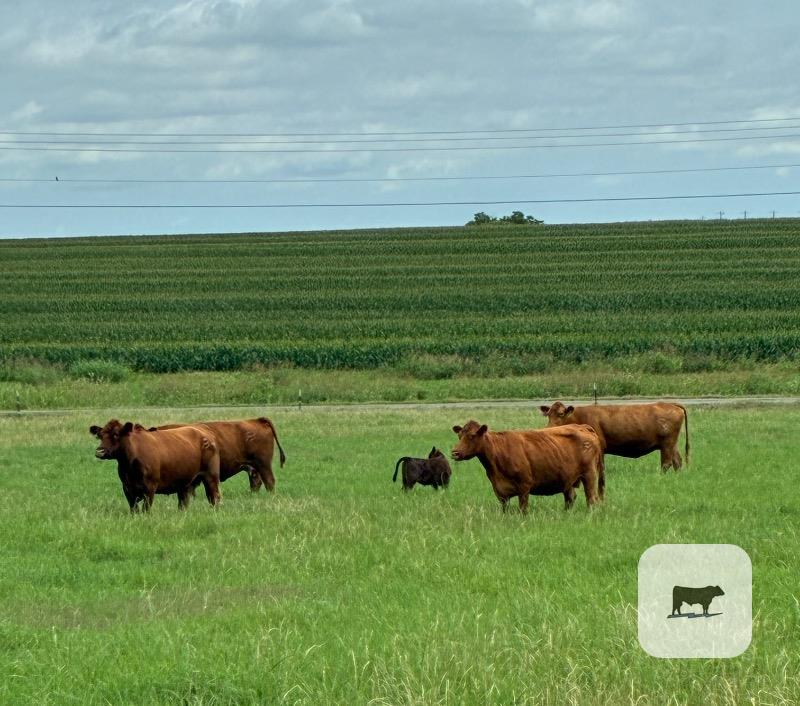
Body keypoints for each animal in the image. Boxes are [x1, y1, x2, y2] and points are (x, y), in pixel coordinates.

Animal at [90, 419, 220, 511]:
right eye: (100, 436)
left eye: (116, 435)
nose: (99, 451)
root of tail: (204, 432)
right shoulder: (127, 488)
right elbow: (134, 509)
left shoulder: (150, 488)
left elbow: (146, 509)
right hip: (184, 483)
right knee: (183, 503)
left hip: (211, 477)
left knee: (214, 497)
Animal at [451, 420, 603, 513]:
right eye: (459, 436)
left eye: (472, 436)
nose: (455, 452)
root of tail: (582, 426)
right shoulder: (500, 491)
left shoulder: (524, 486)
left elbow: (523, 509)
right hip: (567, 479)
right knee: (570, 497)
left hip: (589, 475)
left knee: (591, 499)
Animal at [539, 401, 689, 472]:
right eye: (548, 414)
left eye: (561, 414)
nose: (548, 428)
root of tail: (670, 403)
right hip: (672, 444)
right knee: (677, 462)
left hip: (667, 444)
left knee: (666, 463)